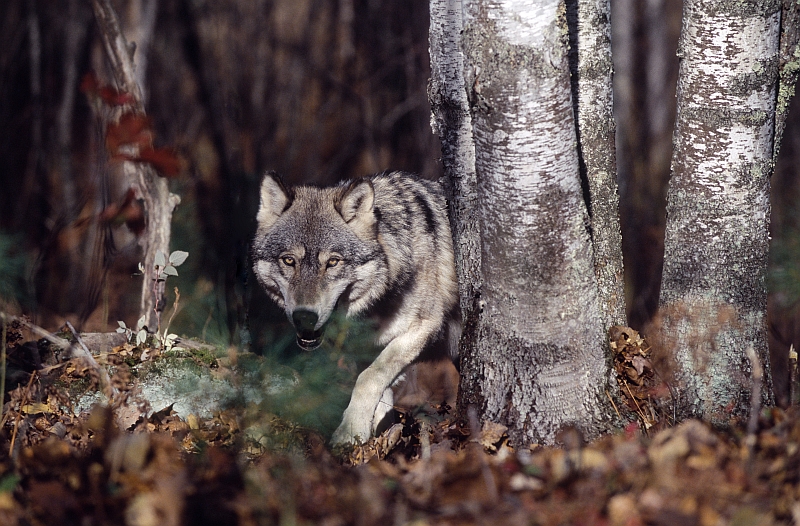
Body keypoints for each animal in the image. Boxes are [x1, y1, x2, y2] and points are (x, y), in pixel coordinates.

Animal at [250, 172, 462, 446]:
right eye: (289, 260)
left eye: (332, 262)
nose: (305, 317)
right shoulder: (366, 348)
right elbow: (381, 391)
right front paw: (379, 438)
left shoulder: (425, 327)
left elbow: (368, 378)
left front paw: (350, 432)